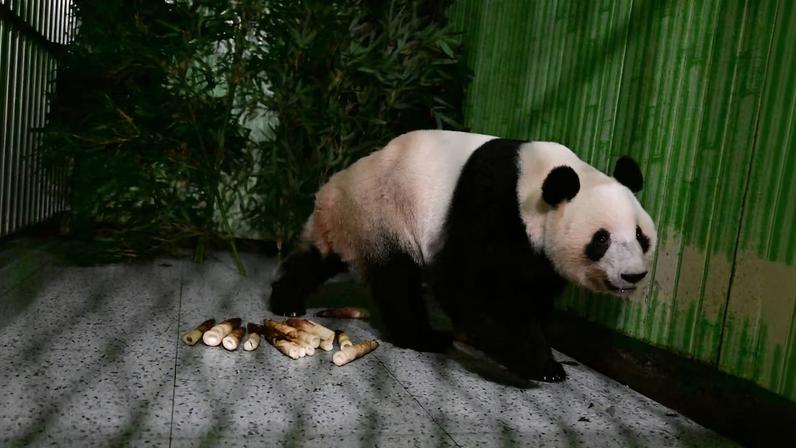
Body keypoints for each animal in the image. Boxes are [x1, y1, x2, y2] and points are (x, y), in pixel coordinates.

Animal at [269, 130, 657, 382]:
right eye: (601, 239)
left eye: (641, 236)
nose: (633, 275)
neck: (538, 181)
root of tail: (334, 187)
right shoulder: (493, 203)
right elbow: (468, 284)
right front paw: (539, 363)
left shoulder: (539, 255)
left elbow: (533, 290)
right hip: (382, 213)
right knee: (397, 280)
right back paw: (424, 337)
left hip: (350, 222)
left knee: (316, 258)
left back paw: (286, 301)